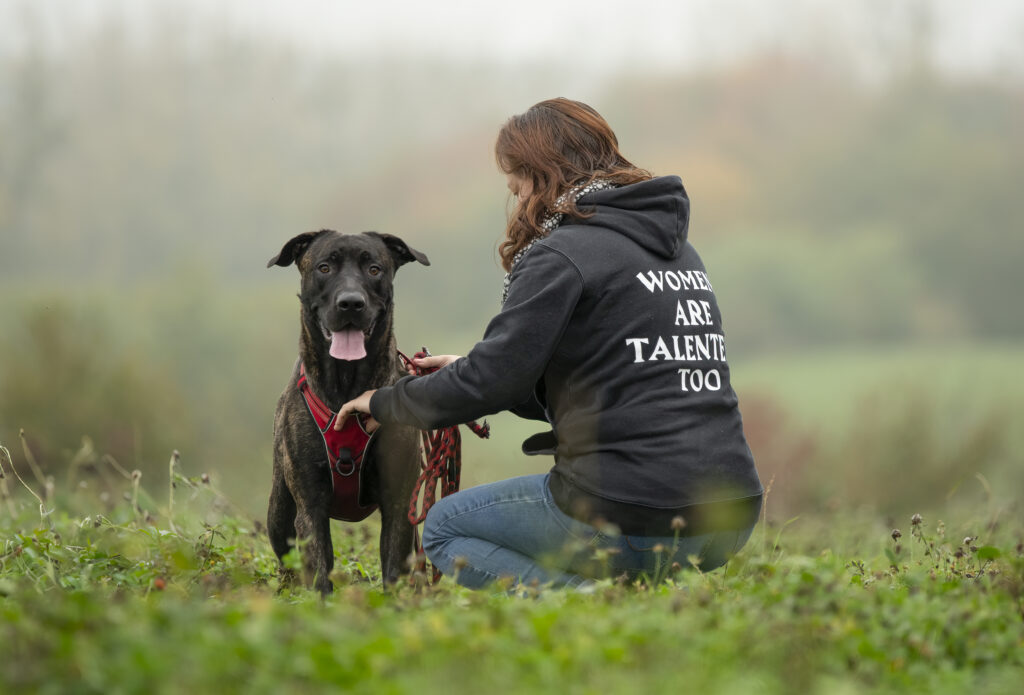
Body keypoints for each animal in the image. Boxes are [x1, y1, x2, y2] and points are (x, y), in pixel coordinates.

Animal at [268, 229, 428, 593]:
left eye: (374, 269)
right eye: (324, 267)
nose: (351, 302)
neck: (346, 387)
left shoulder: (399, 503)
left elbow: (393, 570)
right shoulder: (310, 507)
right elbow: (318, 573)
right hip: (279, 512)